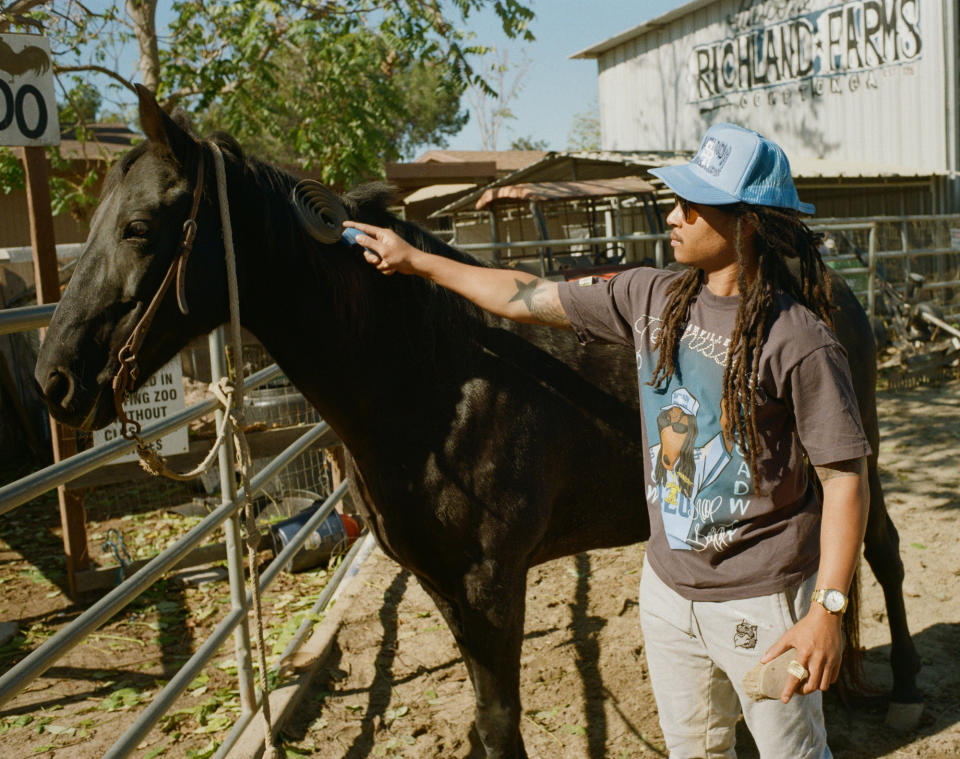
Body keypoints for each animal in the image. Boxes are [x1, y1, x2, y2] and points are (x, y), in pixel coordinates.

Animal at [35, 86, 924, 756]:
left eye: (139, 228)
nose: (56, 379)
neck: (433, 377)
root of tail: (824, 286)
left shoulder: (493, 582)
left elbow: (499, 719)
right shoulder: (440, 578)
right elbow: (480, 709)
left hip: (862, 458)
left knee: (879, 551)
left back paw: (906, 689)